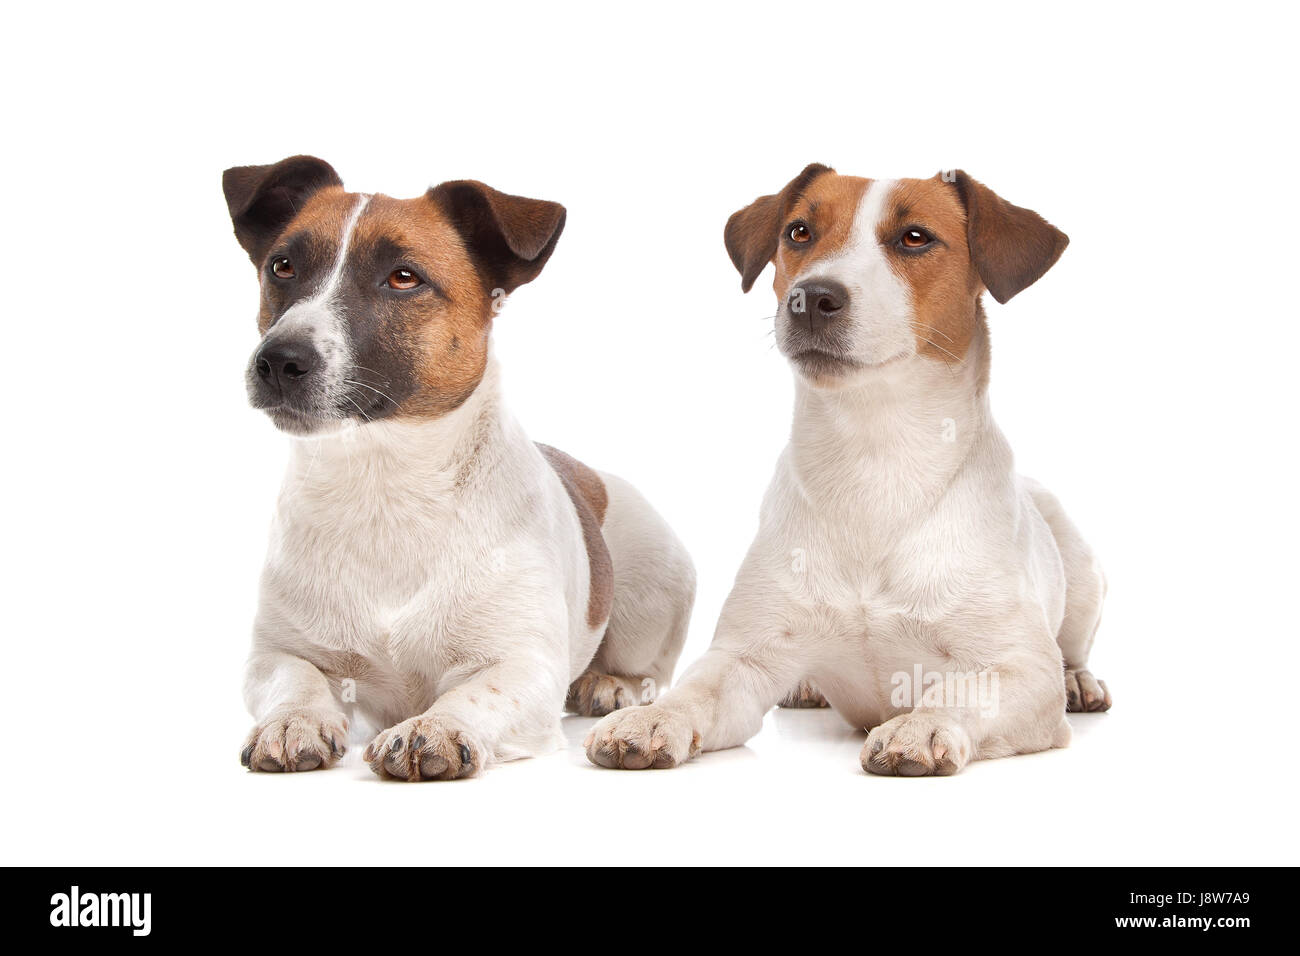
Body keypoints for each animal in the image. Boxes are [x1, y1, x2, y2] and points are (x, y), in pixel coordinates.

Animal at [224, 157, 696, 780]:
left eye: (404, 278)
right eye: (282, 266)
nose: (277, 360)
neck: (385, 484)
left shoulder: (520, 664)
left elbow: (476, 693)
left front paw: (436, 726)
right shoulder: (278, 653)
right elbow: (293, 680)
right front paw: (293, 720)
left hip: (656, 587)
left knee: (645, 667)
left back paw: (609, 683)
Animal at [590, 164, 1107, 780]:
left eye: (915, 237)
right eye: (798, 232)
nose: (811, 296)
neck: (874, 462)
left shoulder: (1019, 668)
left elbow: (962, 690)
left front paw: (919, 725)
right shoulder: (745, 655)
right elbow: (698, 690)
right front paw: (652, 716)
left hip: (1080, 566)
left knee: (1070, 648)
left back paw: (1080, 679)